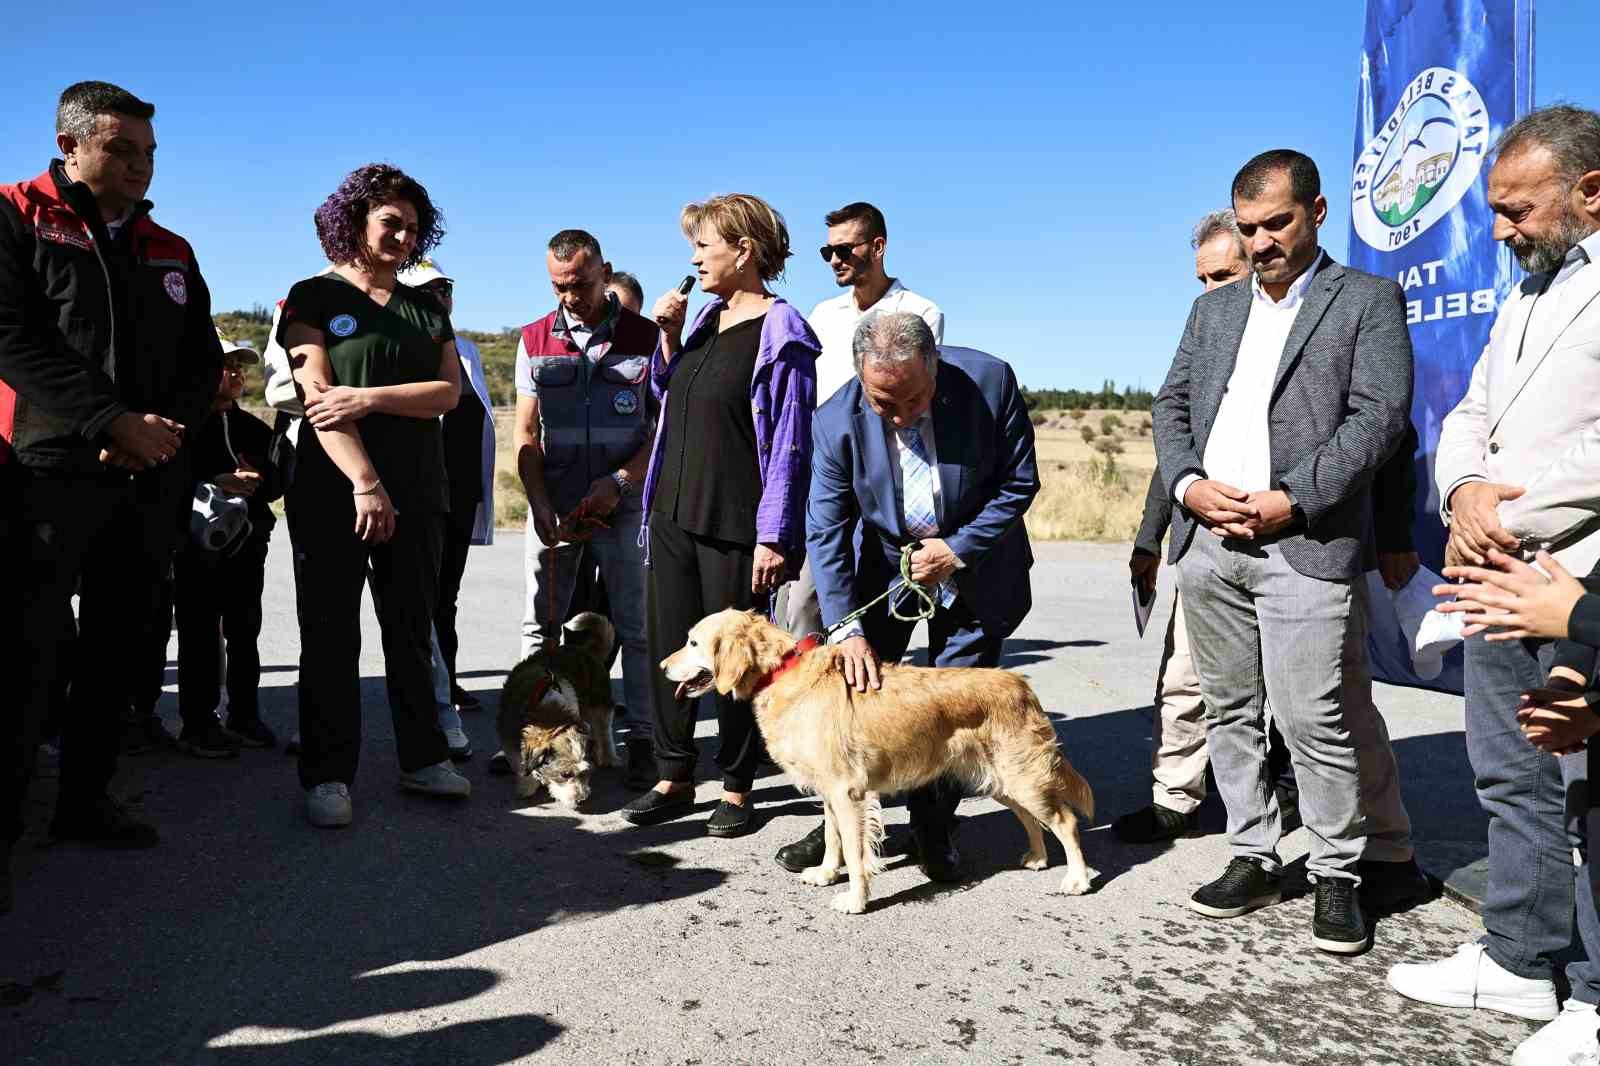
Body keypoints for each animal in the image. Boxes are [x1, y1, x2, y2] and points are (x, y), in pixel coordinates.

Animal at [499, 611, 617, 800]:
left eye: (585, 773)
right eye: (565, 774)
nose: (581, 798)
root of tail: (587, 650)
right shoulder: (510, 739)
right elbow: (520, 763)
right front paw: (528, 784)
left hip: (600, 701)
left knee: (604, 729)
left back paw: (608, 756)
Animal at [665, 605, 1100, 915]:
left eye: (693, 643)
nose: (661, 666)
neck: (783, 674)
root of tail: (1022, 685)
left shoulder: (849, 794)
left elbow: (857, 853)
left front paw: (855, 901)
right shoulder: (830, 792)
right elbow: (832, 838)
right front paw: (826, 874)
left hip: (1022, 776)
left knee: (1065, 821)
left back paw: (1077, 879)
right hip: (1002, 780)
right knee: (1032, 818)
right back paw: (1037, 857)